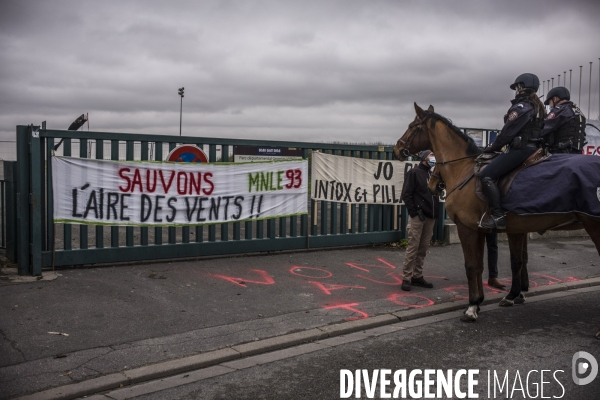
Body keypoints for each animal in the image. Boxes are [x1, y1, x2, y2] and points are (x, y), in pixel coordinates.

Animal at [394, 104, 600, 334]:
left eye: (413, 126)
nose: (397, 149)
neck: (465, 169)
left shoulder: (468, 229)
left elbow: (472, 266)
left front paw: (472, 307)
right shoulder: (487, 229)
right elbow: (493, 264)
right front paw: (491, 299)